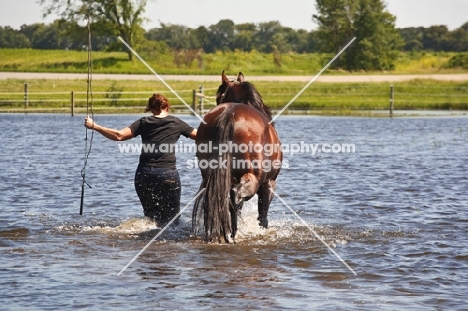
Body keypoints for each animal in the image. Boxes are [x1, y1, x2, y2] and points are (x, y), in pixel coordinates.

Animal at [193, 71, 282, 244]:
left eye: (219, 96)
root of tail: (229, 114)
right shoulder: (269, 184)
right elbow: (262, 215)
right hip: (253, 179)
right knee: (235, 196)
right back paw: (232, 234)